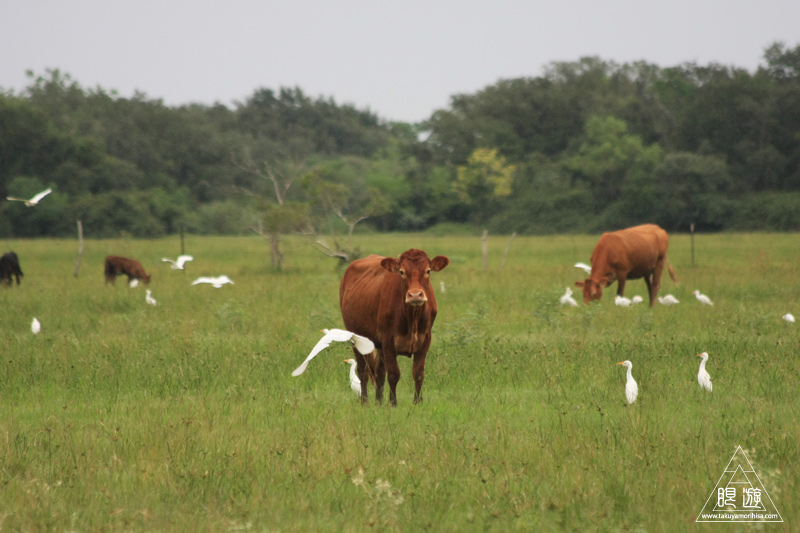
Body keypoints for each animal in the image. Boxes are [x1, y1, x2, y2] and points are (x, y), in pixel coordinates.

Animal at [340, 247, 450, 406]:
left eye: (428, 270)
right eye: (402, 272)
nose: (415, 295)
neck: (412, 318)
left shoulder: (425, 338)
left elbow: (418, 373)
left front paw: (417, 402)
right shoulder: (388, 340)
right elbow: (393, 374)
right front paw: (393, 403)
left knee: (379, 371)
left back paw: (378, 401)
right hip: (356, 337)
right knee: (363, 370)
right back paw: (365, 401)